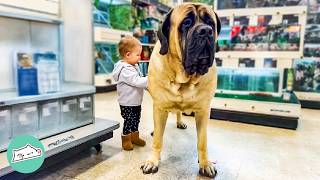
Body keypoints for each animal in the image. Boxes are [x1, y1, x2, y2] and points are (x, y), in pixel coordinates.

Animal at [141, 2, 221, 179]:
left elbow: (202, 141)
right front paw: (153, 161)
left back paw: (180, 121)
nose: (206, 31)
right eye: (186, 23)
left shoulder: (204, 111)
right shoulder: (159, 107)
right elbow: (158, 140)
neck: (185, 78)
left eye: (210, 23)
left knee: (178, 112)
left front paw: (205, 163)